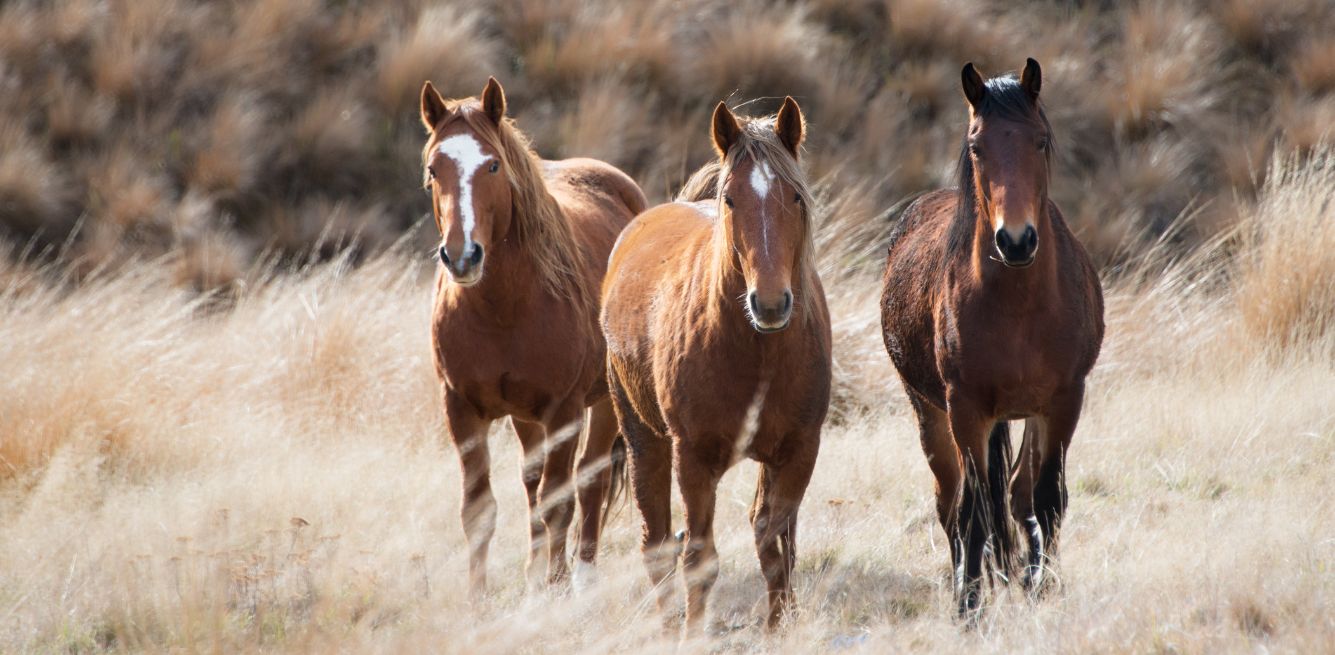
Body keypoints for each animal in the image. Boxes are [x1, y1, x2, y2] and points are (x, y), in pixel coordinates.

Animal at [420, 77, 646, 594]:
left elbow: (559, 499)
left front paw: (556, 587)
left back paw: (582, 577)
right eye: (433, 169)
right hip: (524, 417)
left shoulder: (563, 410)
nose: (461, 256)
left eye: (493, 165)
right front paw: (479, 596)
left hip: (604, 403)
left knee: (588, 481)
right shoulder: (460, 408)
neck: (503, 310)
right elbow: (479, 508)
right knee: (531, 481)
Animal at [601, 97, 831, 632]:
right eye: (730, 200)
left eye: (794, 197)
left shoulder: (799, 450)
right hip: (645, 439)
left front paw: (779, 627)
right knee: (657, 541)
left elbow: (775, 544)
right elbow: (699, 558)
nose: (770, 303)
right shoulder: (693, 458)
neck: (758, 353)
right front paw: (691, 634)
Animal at [879, 58, 1104, 619]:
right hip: (930, 413)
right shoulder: (966, 410)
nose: (1016, 240)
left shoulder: (1064, 400)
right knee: (952, 502)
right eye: (977, 146)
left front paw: (1043, 586)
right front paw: (969, 606)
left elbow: (1046, 498)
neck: (1019, 307)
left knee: (1019, 493)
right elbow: (975, 510)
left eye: (1040, 141)